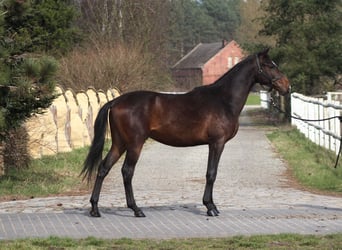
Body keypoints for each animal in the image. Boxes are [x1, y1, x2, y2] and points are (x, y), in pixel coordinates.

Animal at [81, 48, 290, 217]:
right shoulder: (217, 143)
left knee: (103, 168)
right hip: (134, 144)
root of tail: (116, 101)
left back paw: (95, 209)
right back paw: (136, 209)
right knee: (127, 172)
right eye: (269, 65)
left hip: (119, 144)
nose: (287, 87)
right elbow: (211, 173)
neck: (223, 100)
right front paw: (210, 207)